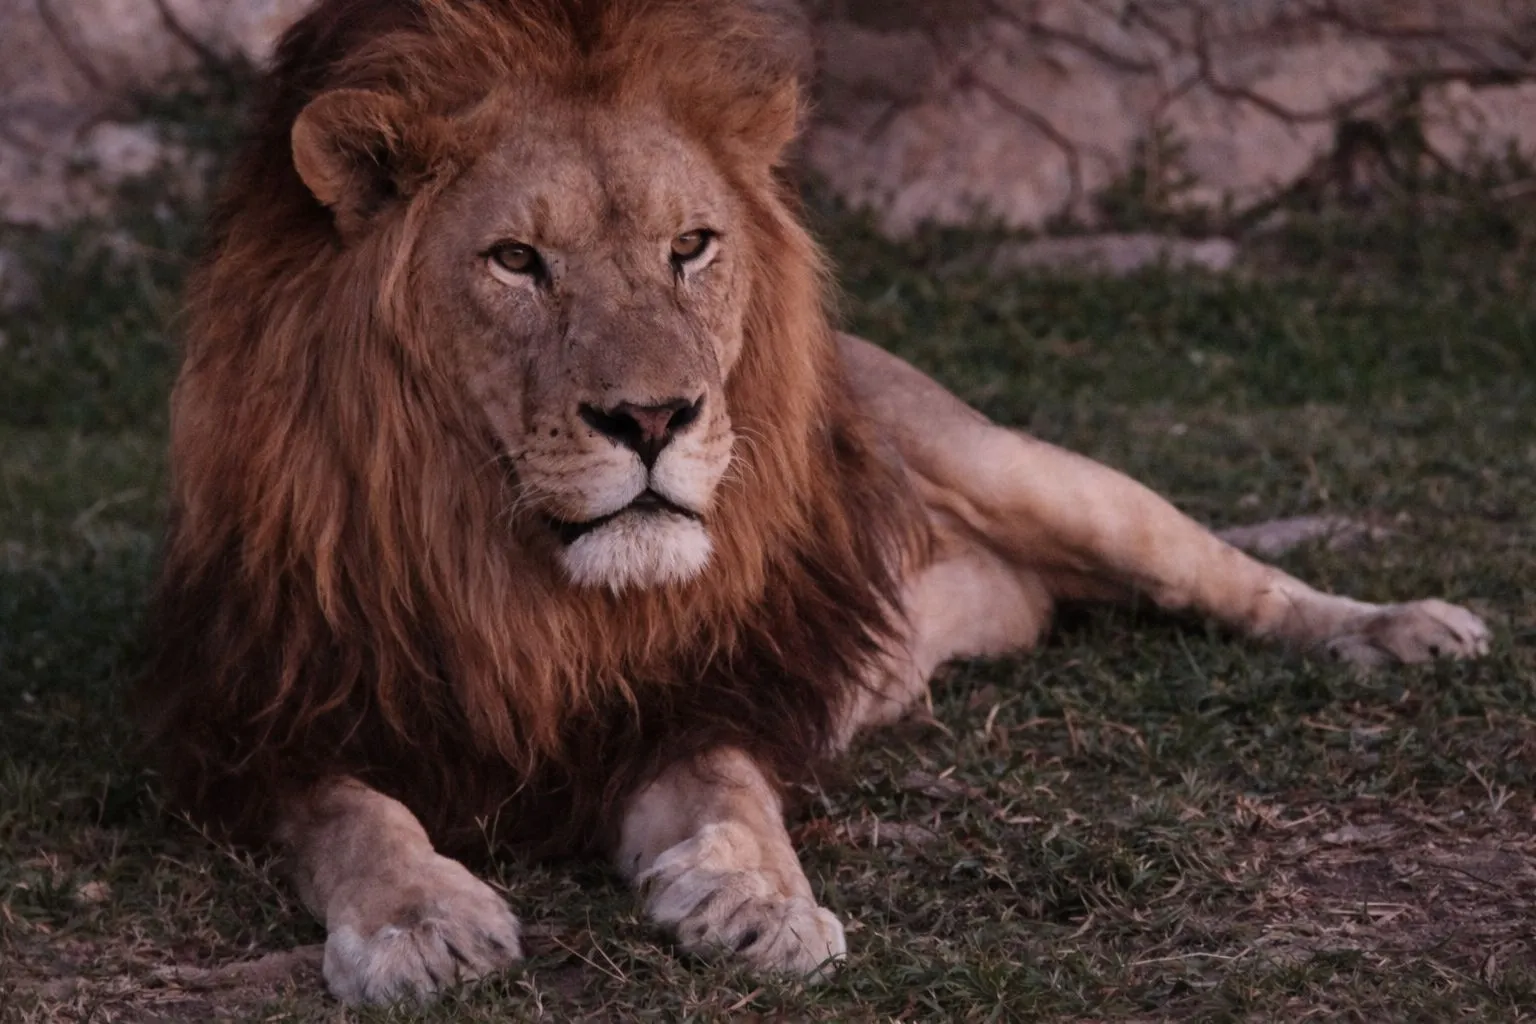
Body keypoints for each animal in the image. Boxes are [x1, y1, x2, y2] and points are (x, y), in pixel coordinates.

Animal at [135, 0, 1491, 1006]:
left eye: (691, 246)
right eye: (517, 261)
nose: (653, 420)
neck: (514, 574)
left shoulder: (704, 690)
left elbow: (733, 793)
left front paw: (757, 900)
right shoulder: (271, 720)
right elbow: (354, 821)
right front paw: (422, 922)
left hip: (1028, 470)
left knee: (1220, 571)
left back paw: (1399, 627)